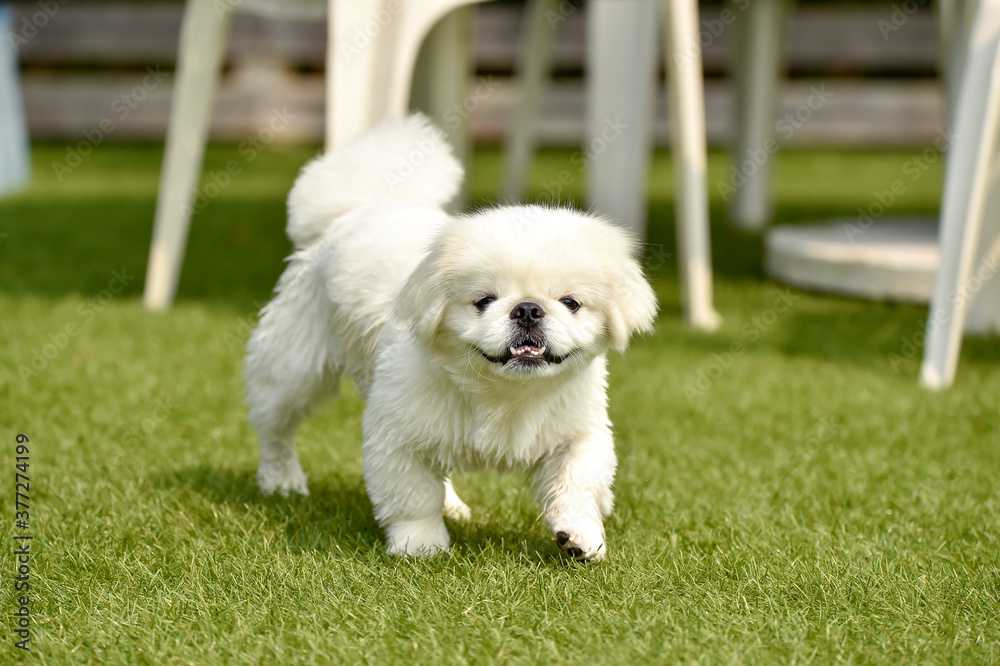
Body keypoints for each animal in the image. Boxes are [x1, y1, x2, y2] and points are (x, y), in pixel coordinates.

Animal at [244, 114, 656, 560]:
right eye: (484, 301)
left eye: (570, 303)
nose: (528, 309)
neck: (504, 394)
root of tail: (365, 206)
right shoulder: (397, 437)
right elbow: (413, 498)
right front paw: (421, 545)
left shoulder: (579, 435)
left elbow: (576, 486)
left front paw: (579, 538)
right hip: (293, 370)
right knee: (275, 429)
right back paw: (281, 481)